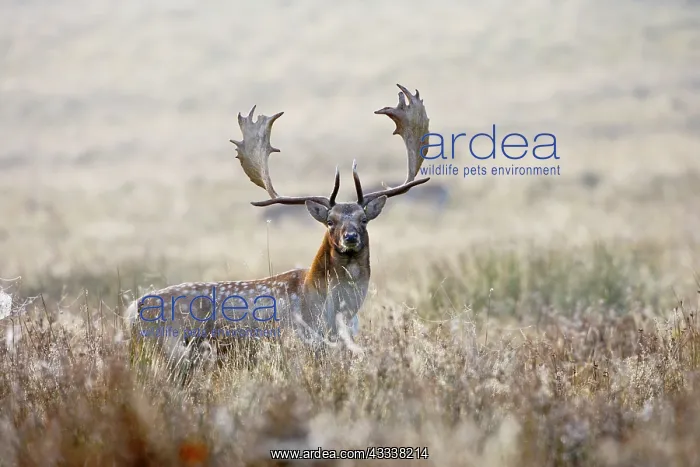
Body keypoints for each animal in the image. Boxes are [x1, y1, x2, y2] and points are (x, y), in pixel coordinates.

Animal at [124, 84, 431, 369]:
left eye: (363, 218)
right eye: (330, 221)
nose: (351, 237)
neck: (332, 308)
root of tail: (131, 311)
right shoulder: (298, 340)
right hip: (171, 348)